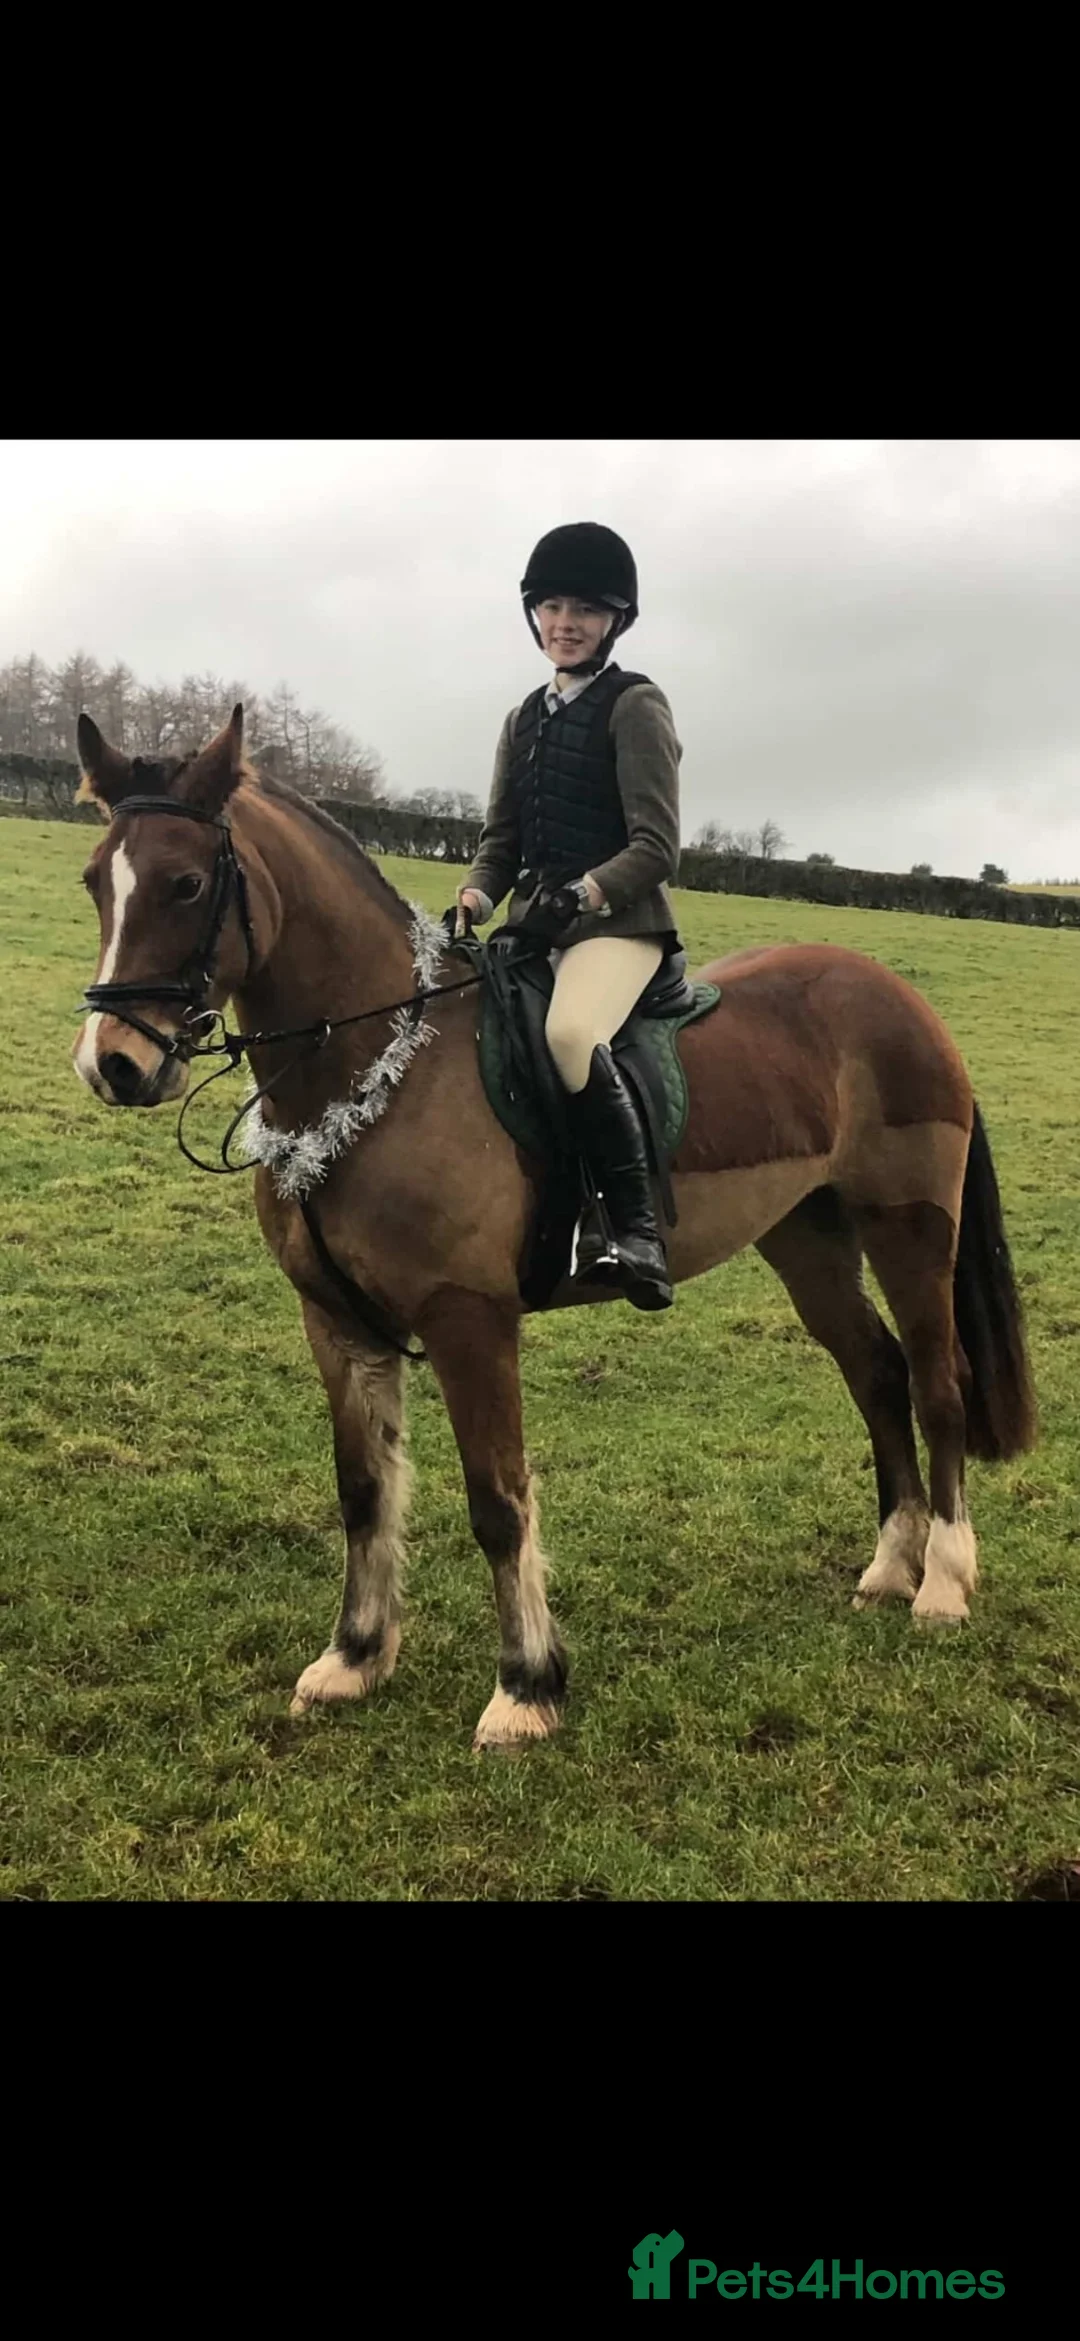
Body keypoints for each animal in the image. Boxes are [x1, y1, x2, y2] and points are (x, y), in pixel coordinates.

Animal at [71, 705, 1037, 1750]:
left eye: (186, 883)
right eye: (95, 881)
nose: (113, 1064)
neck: (381, 1068)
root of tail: (895, 994)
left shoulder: (468, 1319)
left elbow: (498, 1499)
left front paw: (527, 1687)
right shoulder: (337, 1322)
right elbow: (363, 1491)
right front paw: (355, 1658)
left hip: (910, 1226)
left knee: (938, 1382)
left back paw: (942, 1582)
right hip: (808, 1240)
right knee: (877, 1374)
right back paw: (891, 1565)